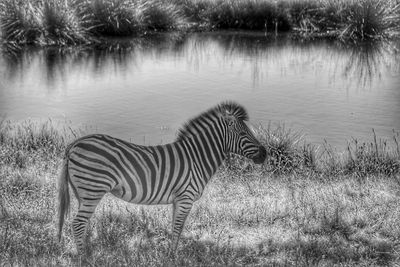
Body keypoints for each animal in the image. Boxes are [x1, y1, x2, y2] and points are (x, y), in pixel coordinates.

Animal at [57, 101, 268, 254]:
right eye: (244, 133)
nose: (265, 154)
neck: (197, 157)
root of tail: (75, 143)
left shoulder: (178, 199)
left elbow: (175, 227)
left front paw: (171, 253)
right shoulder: (185, 197)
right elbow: (178, 228)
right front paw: (173, 256)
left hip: (83, 193)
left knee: (82, 223)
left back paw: (87, 249)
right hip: (93, 189)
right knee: (77, 224)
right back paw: (84, 257)